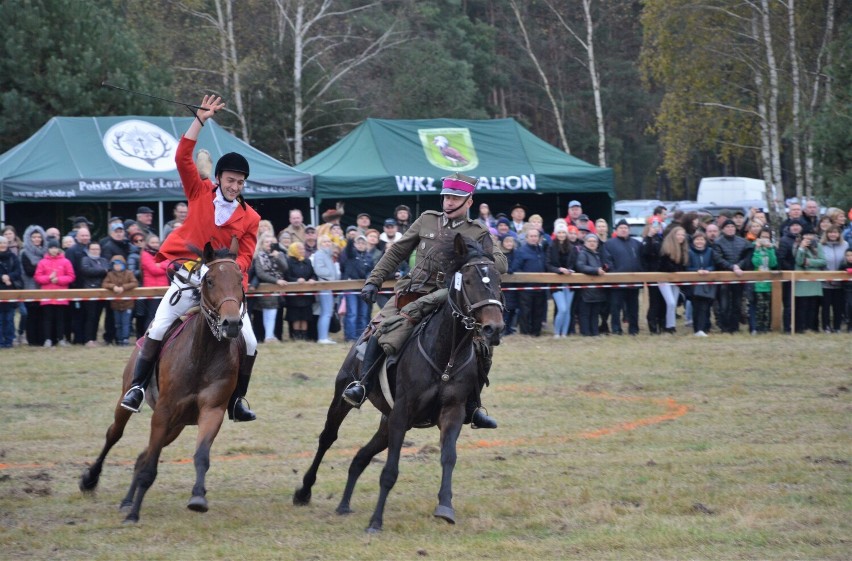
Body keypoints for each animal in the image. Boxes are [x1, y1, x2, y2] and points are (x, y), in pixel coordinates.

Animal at [78, 236, 245, 520]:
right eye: (210, 280)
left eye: (240, 279)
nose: (231, 323)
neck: (202, 354)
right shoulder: (164, 412)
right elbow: (149, 465)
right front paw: (134, 515)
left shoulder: (211, 410)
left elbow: (201, 455)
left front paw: (198, 497)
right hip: (133, 402)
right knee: (114, 434)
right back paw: (92, 480)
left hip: (177, 426)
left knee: (142, 456)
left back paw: (127, 500)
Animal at [294, 234, 506, 532]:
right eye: (468, 280)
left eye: (498, 279)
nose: (493, 329)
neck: (446, 355)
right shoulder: (402, 413)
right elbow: (390, 470)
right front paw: (375, 521)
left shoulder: (450, 412)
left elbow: (448, 457)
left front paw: (445, 507)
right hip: (346, 398)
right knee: (328, 437)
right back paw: (304, 491)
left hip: (387, 421)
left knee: (360, 456)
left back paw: (344, 504)